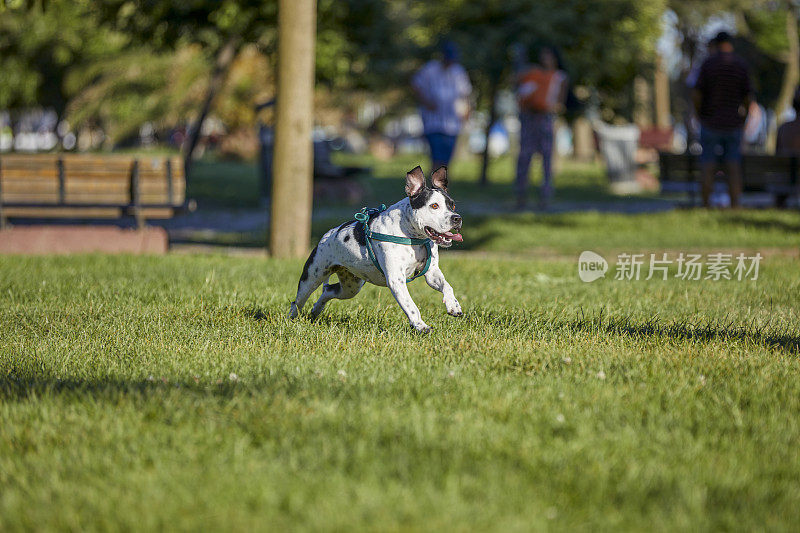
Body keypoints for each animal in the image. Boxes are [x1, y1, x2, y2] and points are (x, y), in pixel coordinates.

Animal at [288, 166, 462, 332]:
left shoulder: (431, 272)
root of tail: (327, 235)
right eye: (434, 206)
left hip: (351, 286)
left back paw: (316, 311)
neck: (414, 237)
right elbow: (411, 306)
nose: (457, 218)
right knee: (297, 301)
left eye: (452, 205)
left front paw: (453, 305)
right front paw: (420, 326)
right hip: (312, 277)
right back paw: (292, 319)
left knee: (328, 291)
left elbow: (447, 286)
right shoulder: (396, 280)